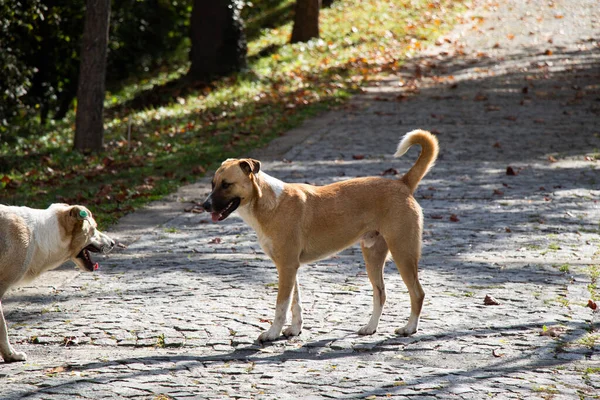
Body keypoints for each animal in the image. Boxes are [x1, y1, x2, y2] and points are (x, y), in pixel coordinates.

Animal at [204, 130, 438, 340]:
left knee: (418, 293)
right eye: (212, 184)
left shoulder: (286, 267)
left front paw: (272, 333)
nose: (204, 206)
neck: (268, 203)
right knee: (381, 293)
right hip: (373, 256)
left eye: (226, 184)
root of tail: (402, 183)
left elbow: (281, 306)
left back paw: (409, 328)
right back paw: (370, 328)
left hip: (403, 253)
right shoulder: (290, 267)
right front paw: (294, 330)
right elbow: (295, 304)